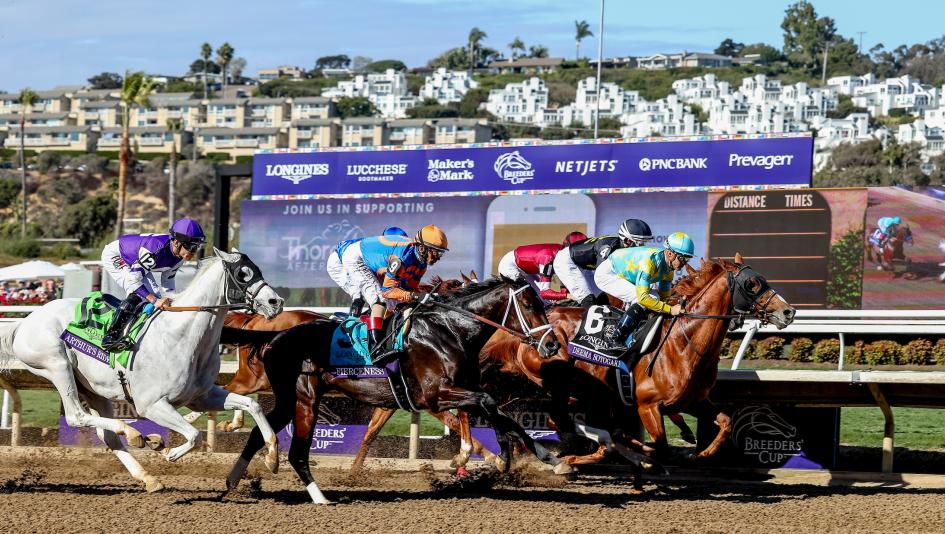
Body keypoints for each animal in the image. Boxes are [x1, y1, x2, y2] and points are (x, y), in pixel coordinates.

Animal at [0, 249, 285, 492]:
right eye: (243, 274)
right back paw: (135, 434)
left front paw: (272, 458)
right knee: (76, 416)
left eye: (257, 270)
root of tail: (23, 323)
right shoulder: (152, 404)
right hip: (58, 366)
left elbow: (253, 405)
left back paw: (148, 472)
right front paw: (171, 452)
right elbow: (194, 435)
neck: (183, 335)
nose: (276, 302)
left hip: (93, 389)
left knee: (107, 435)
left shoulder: (201, 396)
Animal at [226, 276, 570, 504]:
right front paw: (493, 458)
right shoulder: (434, 396)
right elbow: (486, 406)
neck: (448, 331)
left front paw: (545, 459)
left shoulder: (461, 389)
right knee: (296, 451)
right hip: (304, 400)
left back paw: (239, 477)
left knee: (259, 433)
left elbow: (501, 415)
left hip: (290, 399)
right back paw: (319, 496)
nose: (552, 345)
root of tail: (274, 335)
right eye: (529, 304)